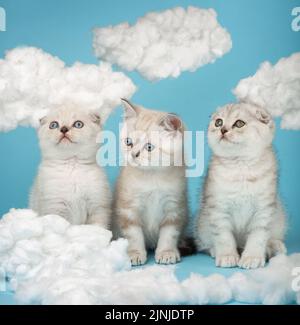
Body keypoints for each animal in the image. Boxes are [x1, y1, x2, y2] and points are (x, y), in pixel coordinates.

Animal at [113, 100, 190, 264]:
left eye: (149, 147)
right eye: (128, 142)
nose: (133, 154)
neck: (152, 177)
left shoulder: (174, 208)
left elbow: (169, 234)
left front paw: (167, 252)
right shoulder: (128, 208)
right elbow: (133, 235)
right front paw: (134, 253)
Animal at [193, 102, 288, 268]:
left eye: (239, 123)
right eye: (218, 122)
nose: (223, 130)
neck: (241, 165)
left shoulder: (264, 210)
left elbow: (258, 237)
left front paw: (252, 257)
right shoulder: (218, 209)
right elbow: (223, 237)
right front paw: (227, 256)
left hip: (279, 217)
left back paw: (275, 246)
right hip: (202, 223)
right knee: (204, 243)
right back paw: (214, 250)